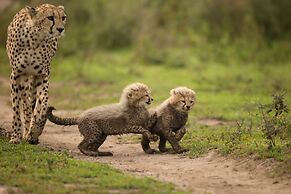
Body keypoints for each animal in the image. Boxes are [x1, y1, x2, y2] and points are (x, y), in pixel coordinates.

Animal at [6, 3, 66, 144]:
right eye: (50, 17)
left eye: (63, 17)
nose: (61, 29)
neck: (35, 39)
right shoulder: (16, 76)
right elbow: (16, 109)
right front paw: (15, 137)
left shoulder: (42, 76)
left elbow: (43, 106)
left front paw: (35, 132)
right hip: (24, 80)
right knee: (26, 104)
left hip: (32, 80)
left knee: (32, 103)